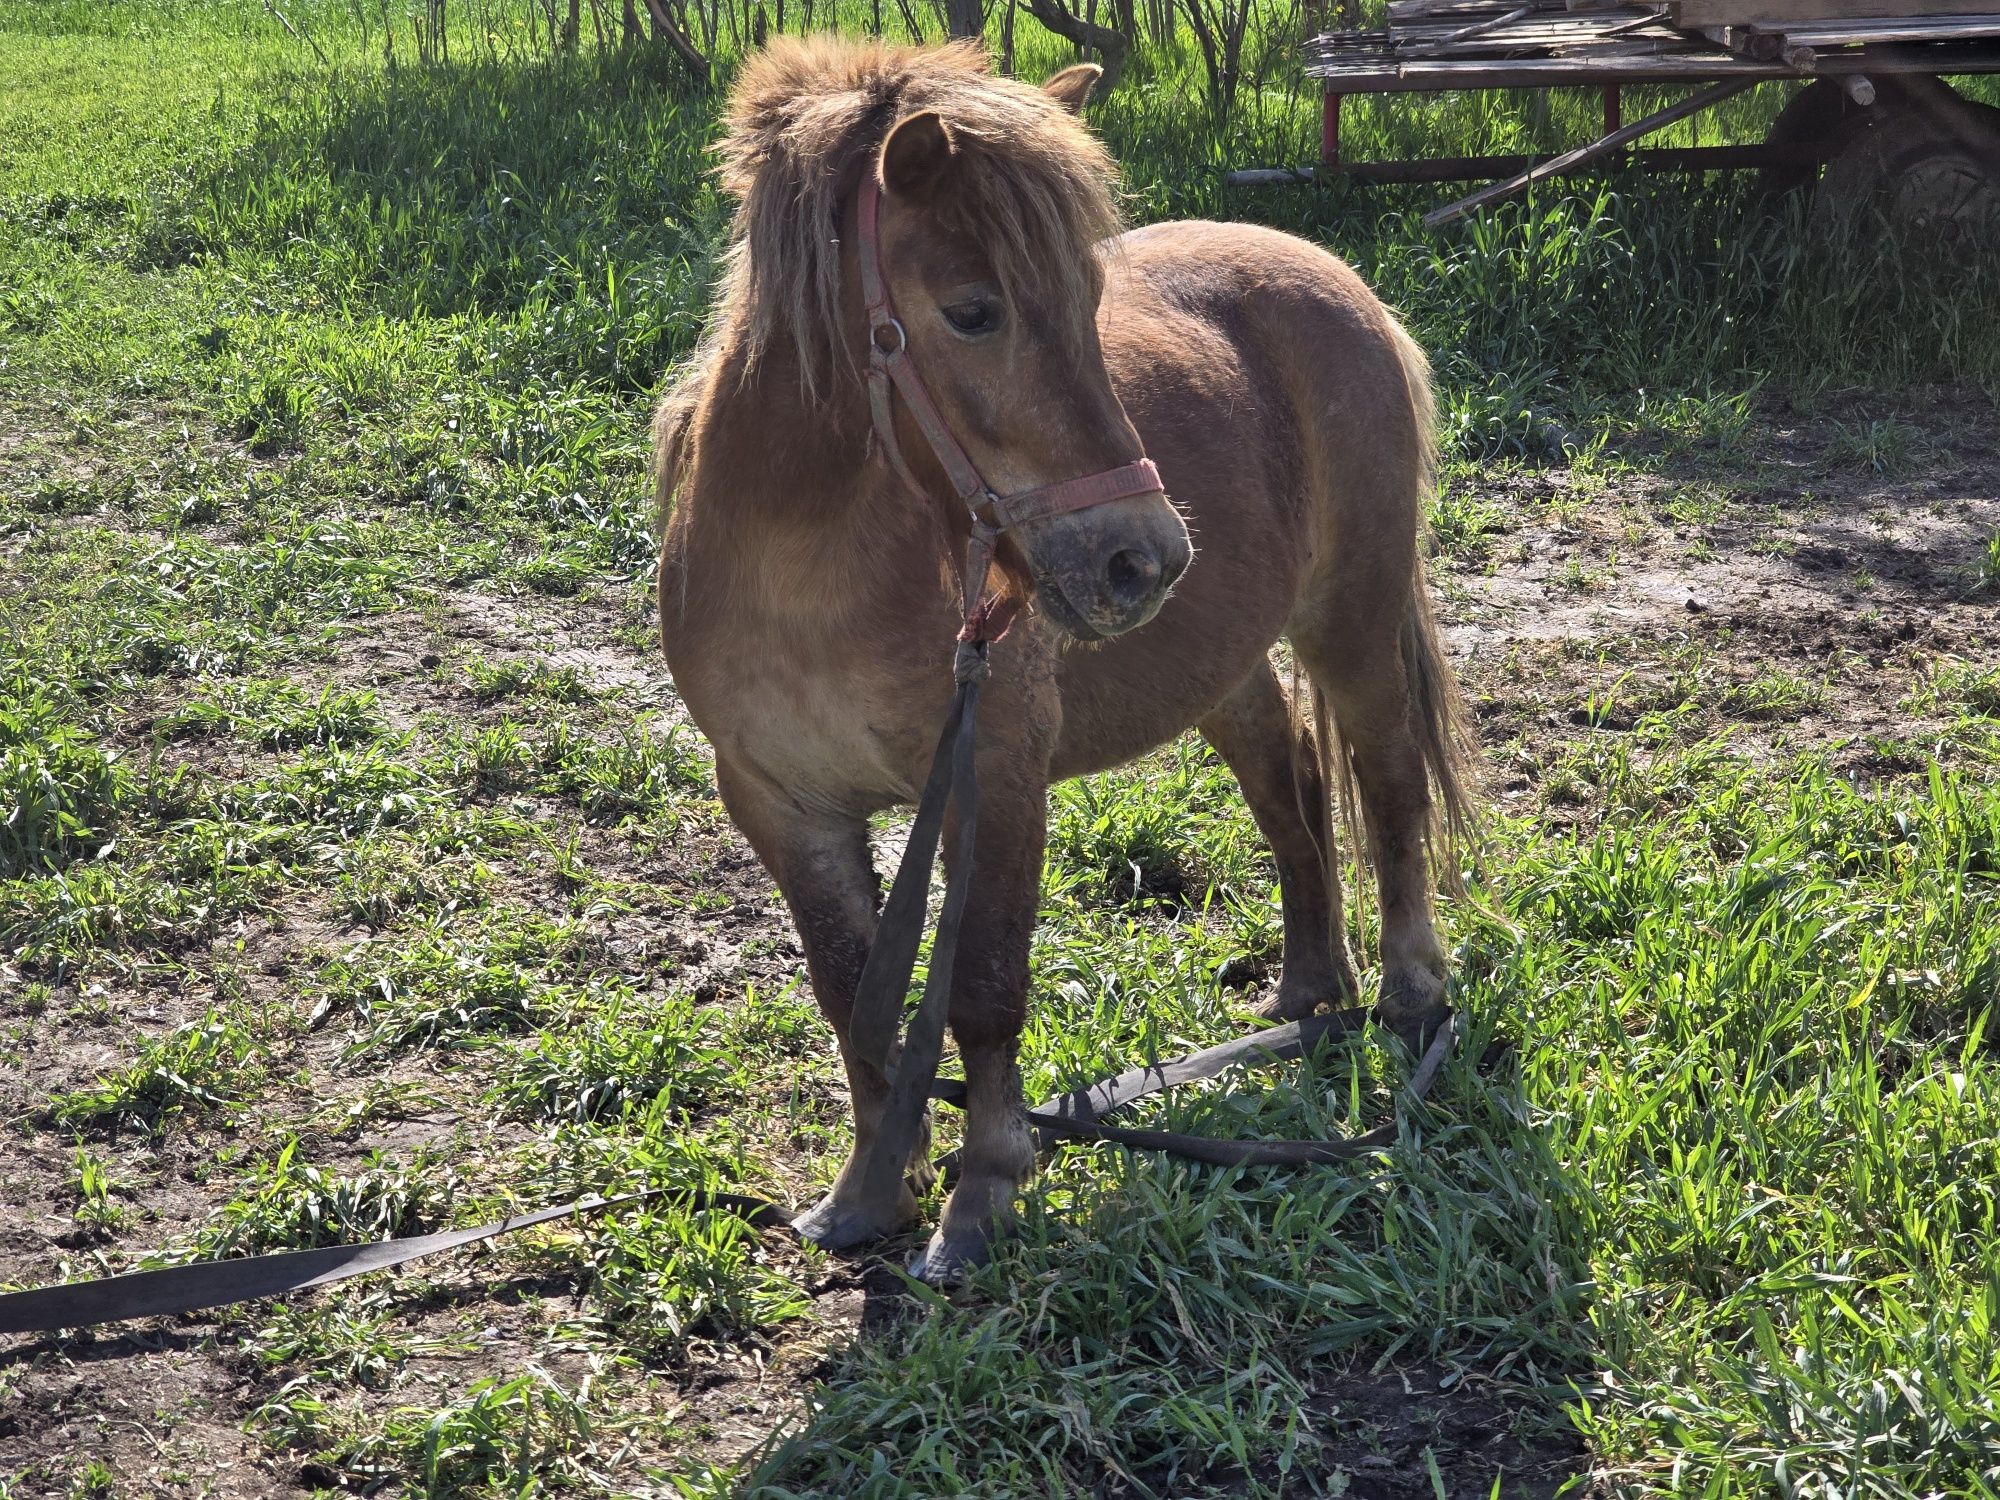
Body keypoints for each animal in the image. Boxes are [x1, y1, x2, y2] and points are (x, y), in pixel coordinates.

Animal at [652, 35, 1472, 1280]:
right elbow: (850, 992)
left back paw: (1408, 992)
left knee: (1382, 787)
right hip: (1219, 659)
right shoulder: (778, 801)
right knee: (1288, 785)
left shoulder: (991, 774)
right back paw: (1305, 991)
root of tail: (1324, 272)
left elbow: (984, 990)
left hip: (1353, 617)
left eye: (1089, 300)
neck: (802, 568)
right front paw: (867, 1191)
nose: (1144, 557)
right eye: (972, 311)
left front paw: (982, 1192)